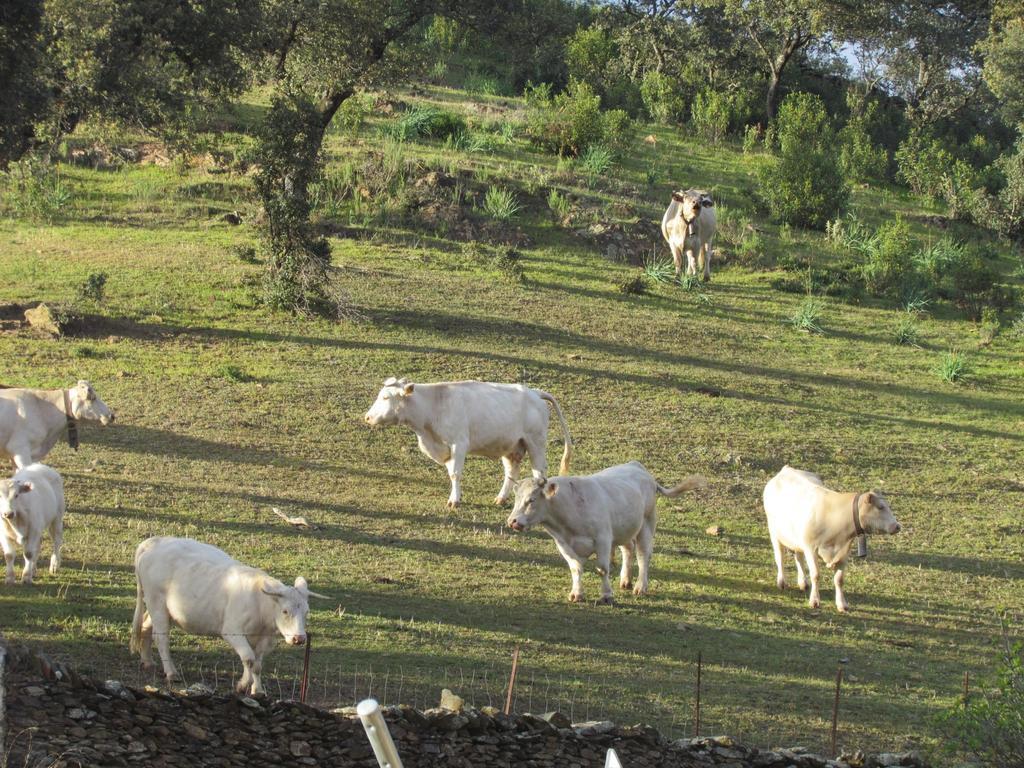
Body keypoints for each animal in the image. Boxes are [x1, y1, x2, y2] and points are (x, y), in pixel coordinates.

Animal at [130, 536, 325, 696]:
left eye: (306, 611)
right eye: (285, 611)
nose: (299, 638)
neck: (260, 605)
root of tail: (154, 541)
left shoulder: (265, 639)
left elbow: (257, 664)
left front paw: (256, 689)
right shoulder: (232, 631)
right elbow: (248, 658)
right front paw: (244, 685)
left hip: (161, 609)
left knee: (146, 625)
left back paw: (147, 661)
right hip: (157, 603)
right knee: (161, 637)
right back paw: (171, 672)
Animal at [362, 380, 573, 512]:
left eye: (386, 398)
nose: (367, 417)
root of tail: (535, 392)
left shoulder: (459, 444)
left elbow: (455, 474)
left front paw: (454, 501)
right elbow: (451, 474)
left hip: (535, 443)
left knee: (539, 473)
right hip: (511, 447)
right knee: (511, 472)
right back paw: (501, 499)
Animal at [503, 462, 704, 606]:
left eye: (531, 500)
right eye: (516, 498)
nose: (513, 521)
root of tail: (638, 467)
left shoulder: (603, 539)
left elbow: (602, 568)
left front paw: (606, 595)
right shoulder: (563, 544)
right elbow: (575, 567)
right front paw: (577, 593)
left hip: (646, 525)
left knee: (643, 555)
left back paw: (640, 586)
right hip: (624, 529)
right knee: (628, 549)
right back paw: (625, 580)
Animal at [765, 466, 901, 618]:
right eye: (881, 507)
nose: (897, 526)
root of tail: (786, 469)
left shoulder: (843, 553)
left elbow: (839, 579)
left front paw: (842, 604)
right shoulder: (811, 548)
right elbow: (816, 574)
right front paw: (814, 601)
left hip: (797, 539)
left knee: (798, 557)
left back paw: (803, 582)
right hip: (774, 532)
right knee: (780, 557)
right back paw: (782, 582)